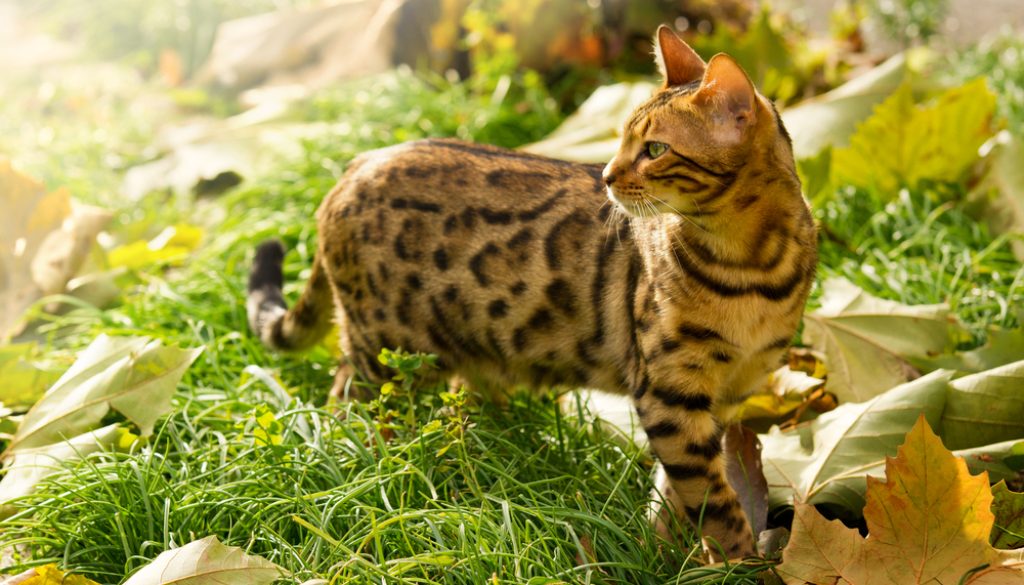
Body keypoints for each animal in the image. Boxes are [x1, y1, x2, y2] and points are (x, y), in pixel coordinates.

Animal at [245, 26, 815, 557]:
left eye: (654, 150)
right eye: (621, 141)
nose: (605, 176)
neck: (751, 267)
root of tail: (353, 166)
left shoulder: (727, 393)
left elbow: (679, 492)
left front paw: (667, 551)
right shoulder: (669, 391)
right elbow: (712, 500)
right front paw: (738, 562)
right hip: (387, 350)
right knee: (345, 400)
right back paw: (367, 462)